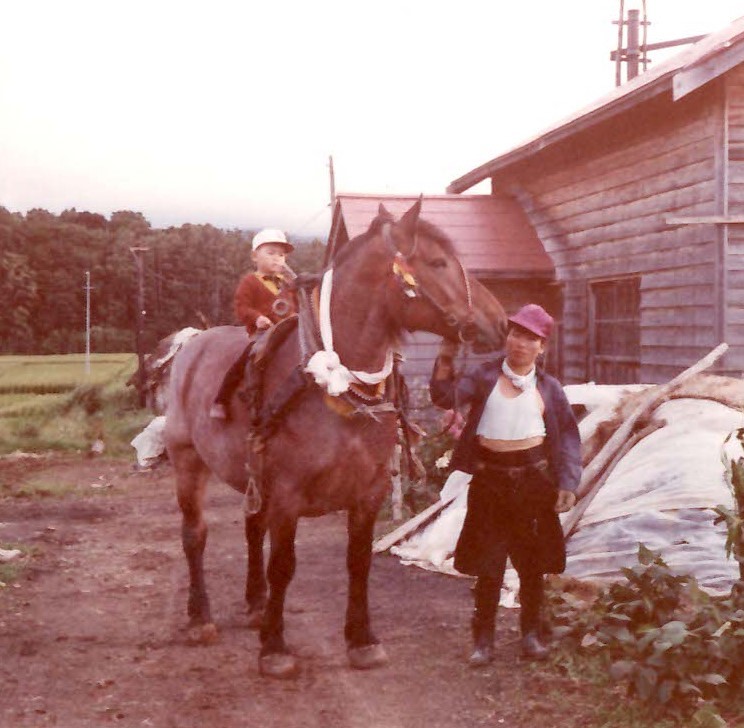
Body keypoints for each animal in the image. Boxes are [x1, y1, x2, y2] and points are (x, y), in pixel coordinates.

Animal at [164, 199, 506, 676]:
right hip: (187, 460)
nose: (502, 322)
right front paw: (274, 647)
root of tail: (191, 346)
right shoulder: (287, 493)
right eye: (438, 262)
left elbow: (358, 562)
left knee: (251, 529)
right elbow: (283, 565)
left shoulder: (368, 491)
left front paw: (361, 639)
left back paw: (256, 604)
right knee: (195, 534)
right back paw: (200, 618)